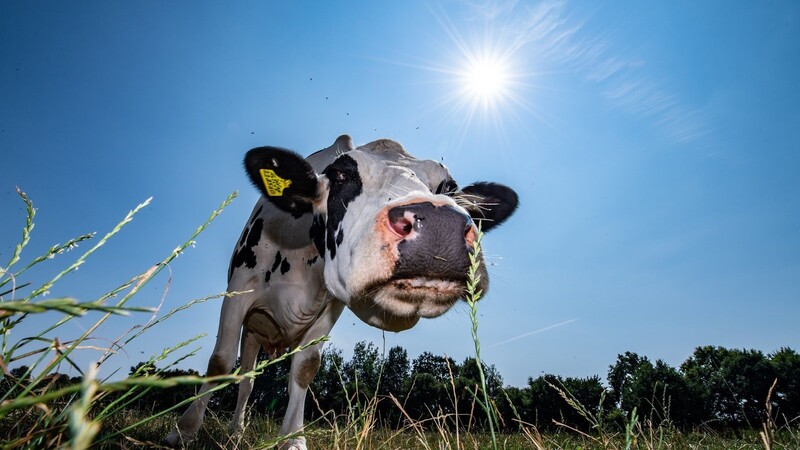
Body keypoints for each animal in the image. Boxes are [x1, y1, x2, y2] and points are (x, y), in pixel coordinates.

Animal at [166, 134, 520, 450]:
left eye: (448, 187)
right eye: (339, 175)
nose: (437, 227)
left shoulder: (329, 306)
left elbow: (305, 368)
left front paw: (293, 439)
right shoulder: (239, 288)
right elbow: (220, 362)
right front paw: (183, 431)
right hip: (253, 330)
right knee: (245, 378)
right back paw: (235, 432)